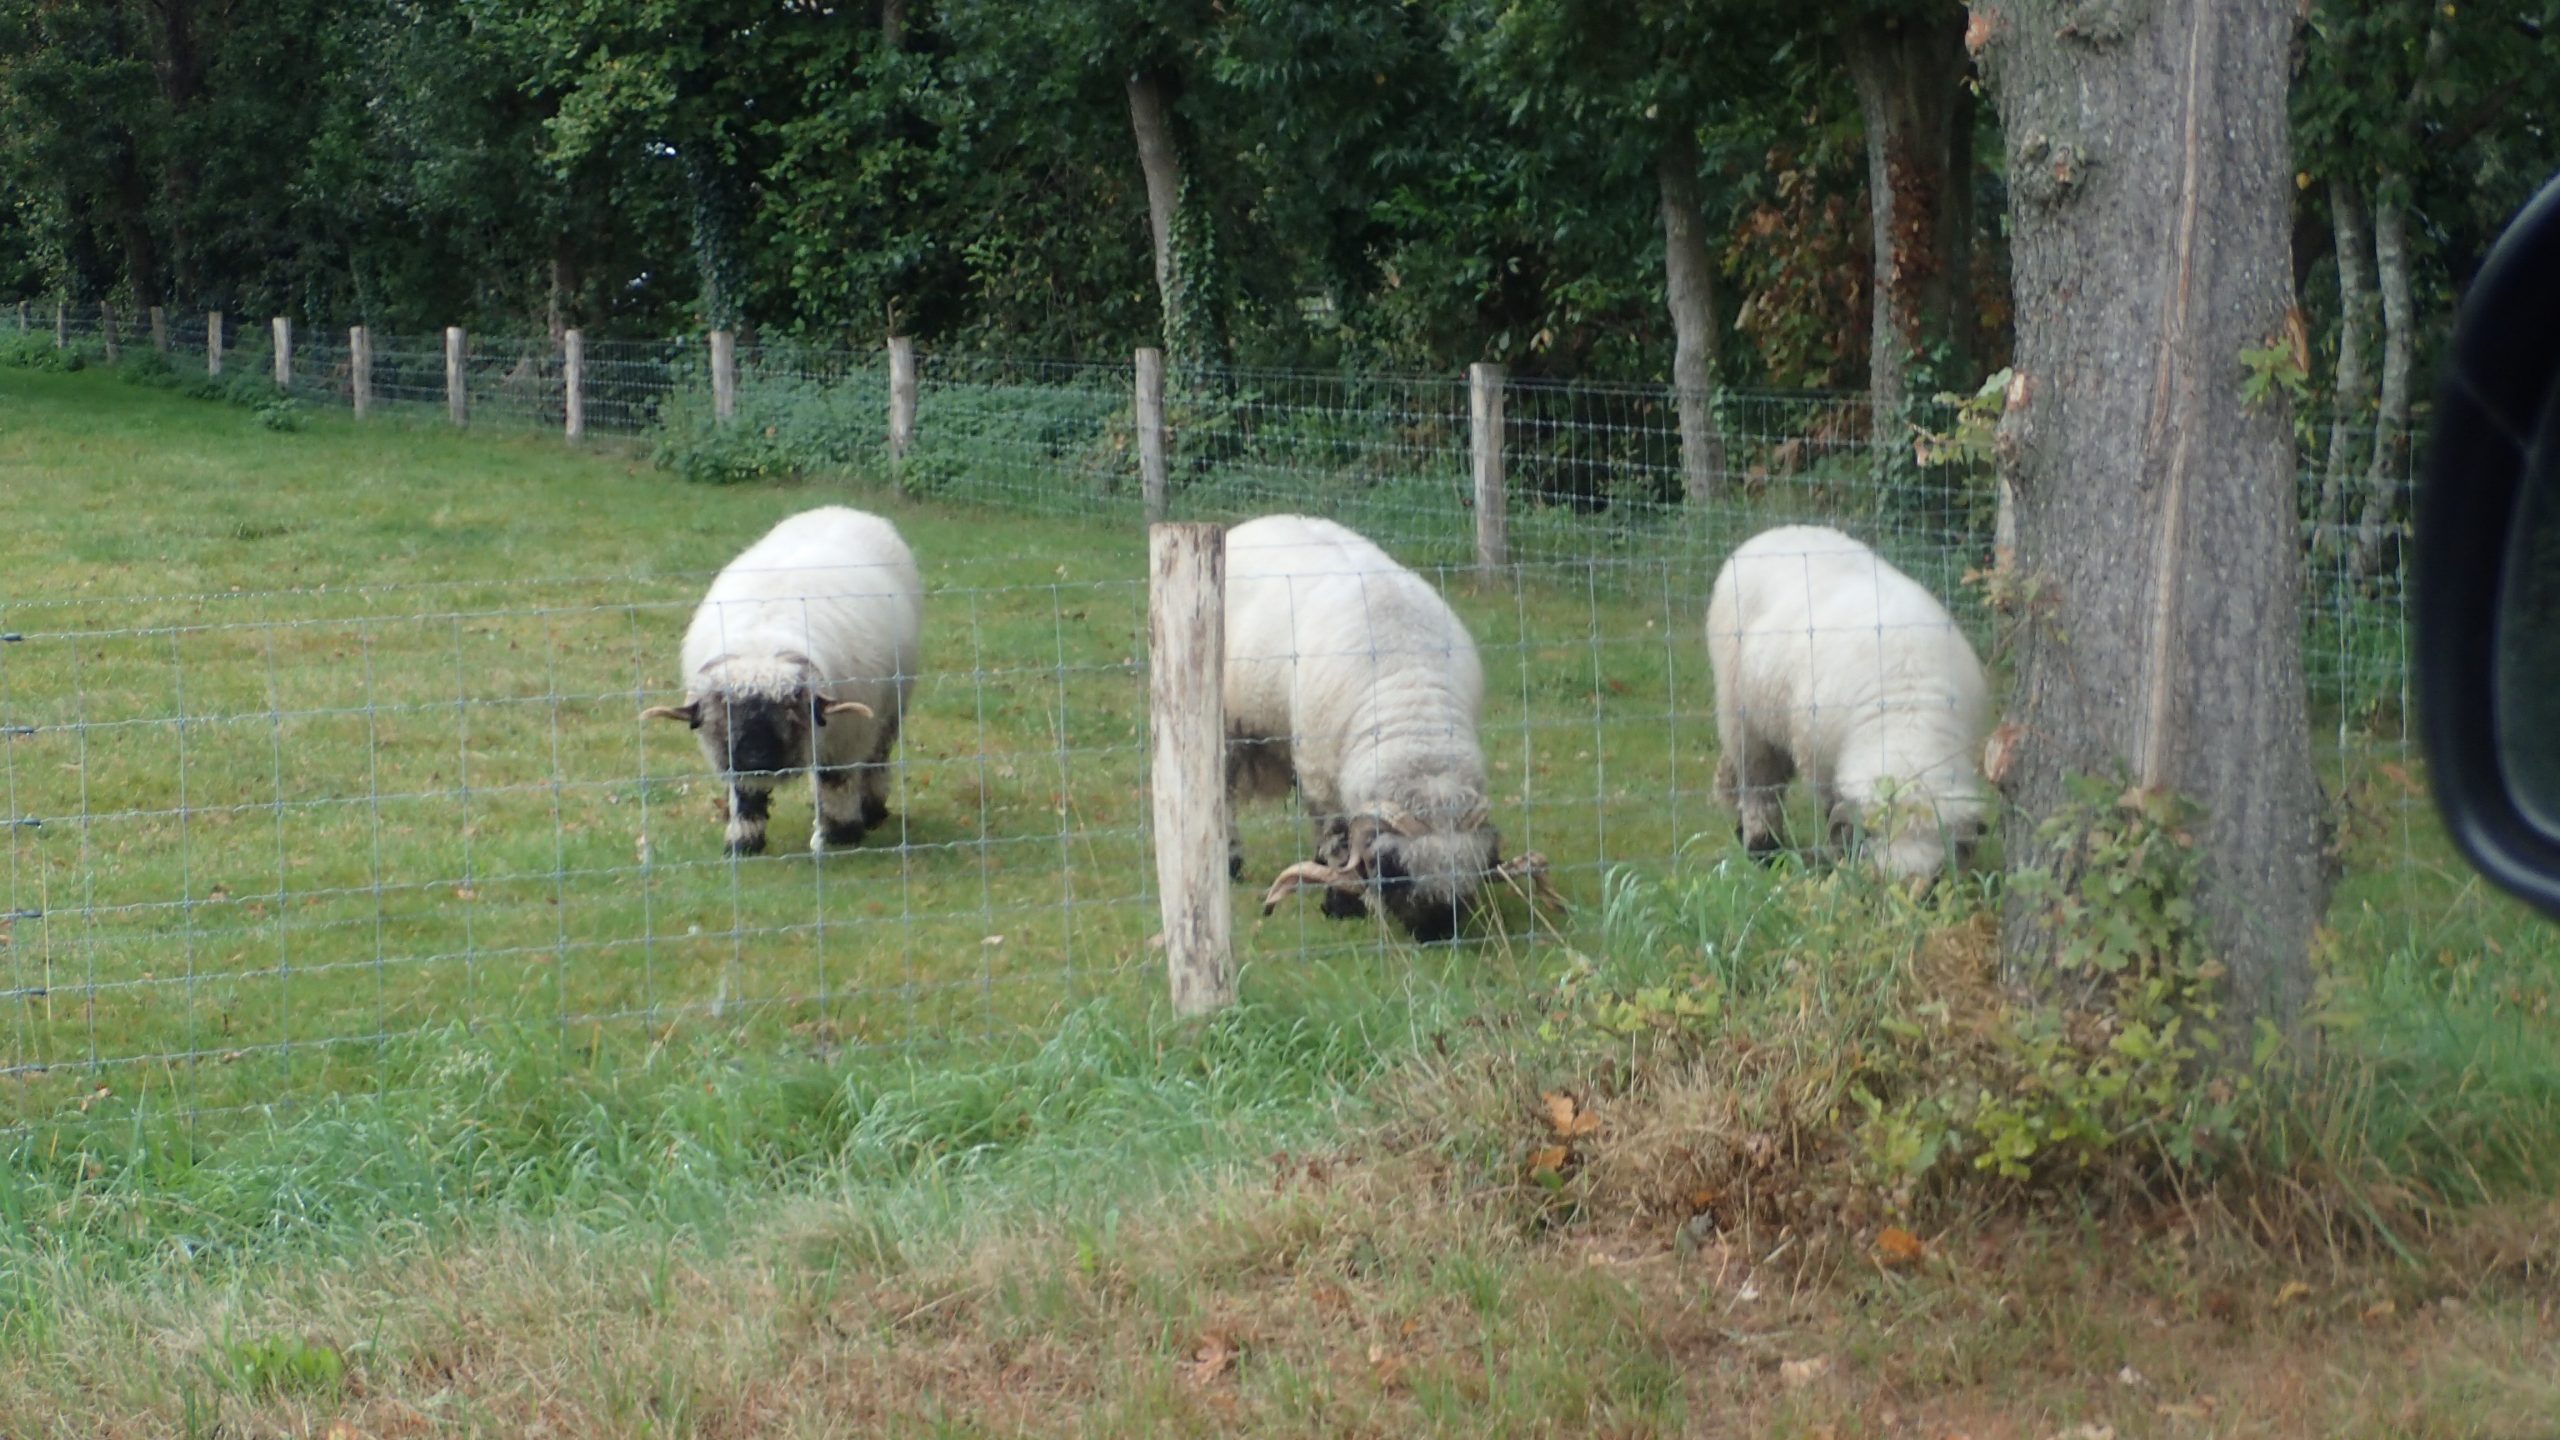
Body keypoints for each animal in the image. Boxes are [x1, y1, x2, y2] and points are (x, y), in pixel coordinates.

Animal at [645, 502, 926, 850]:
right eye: (725, 710)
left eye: (791, 710)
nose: (757, 758)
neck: (762, 642)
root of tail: (842, 508)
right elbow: (745, 793)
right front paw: (743, 841)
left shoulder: (848, 736)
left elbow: (836, 781)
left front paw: (841, 833)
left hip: (891, 710)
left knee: (876, 759)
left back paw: (871, 810)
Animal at [1223, 509, 1556, 937]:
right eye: (1392, 868)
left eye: (1475, 870)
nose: (1437, 933)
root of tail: (1258, 521)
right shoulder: (1321, 776)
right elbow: (1337, 840)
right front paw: (1341, 904)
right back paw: (1231, 863)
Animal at [1710, 525, 1986, 876]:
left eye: (1936, 879)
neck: (1907, 721)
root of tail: (1778, 530)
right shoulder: (1824, 768)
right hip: (1741, 717)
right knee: (1760, 785)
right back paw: (1763, 849)